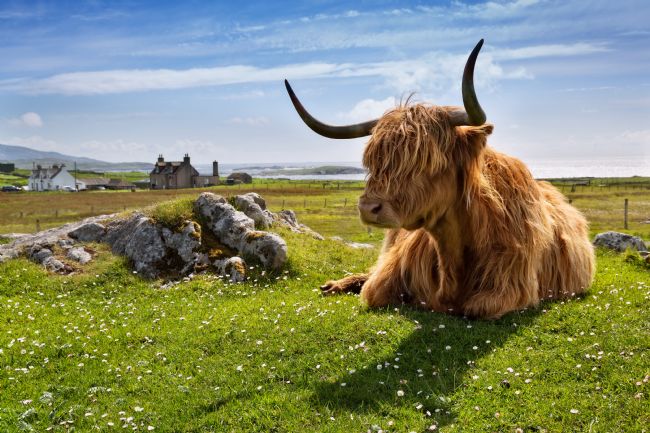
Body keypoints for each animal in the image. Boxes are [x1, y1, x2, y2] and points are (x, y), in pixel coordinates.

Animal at [284, 40, 595, 319]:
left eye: (426, 161)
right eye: (374, 160)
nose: (368, 208)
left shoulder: (513, 285)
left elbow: (478, 308)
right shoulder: (391, 270)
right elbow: (373, 290)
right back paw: (334, 284)